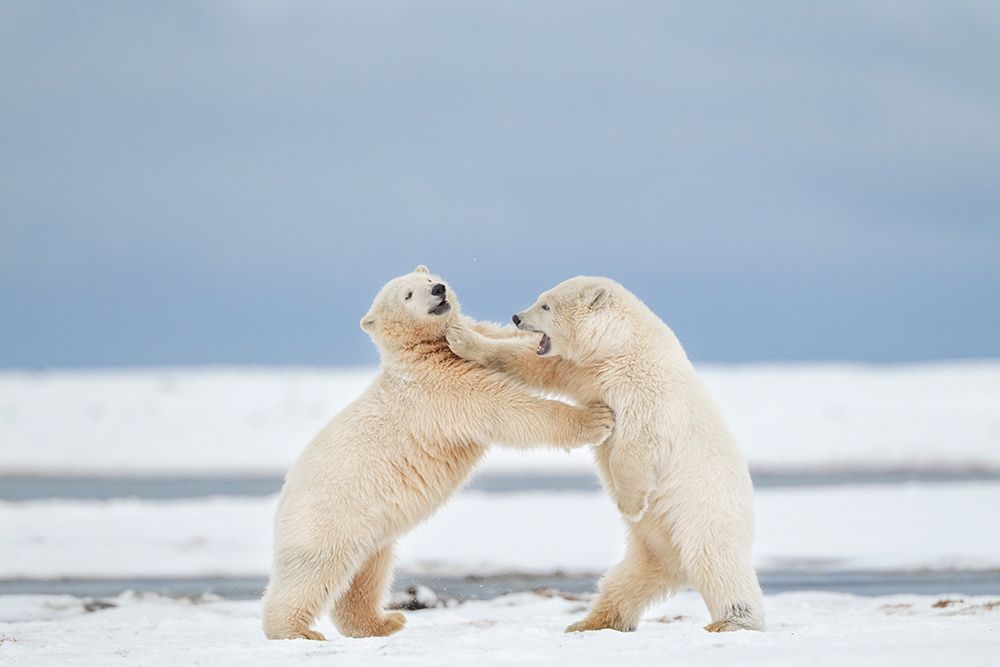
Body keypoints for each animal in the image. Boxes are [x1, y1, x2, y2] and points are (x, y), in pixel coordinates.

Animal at [261, 266, 615, 641]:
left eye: (430, 277)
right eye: (407, 295)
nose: (438, 290)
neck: (421, 355)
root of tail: (283, 498)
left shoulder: (468, 345)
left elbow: (506, 343)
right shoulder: (441, 391)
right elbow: (508, 410)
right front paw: (597, 419)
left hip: (372, 530)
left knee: (366, 575)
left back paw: (383, 622)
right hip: (328, 516)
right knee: (312, 571)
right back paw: (296, 630)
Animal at [445, 275, 765, 633]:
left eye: (546, 305)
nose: (516, 317)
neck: (622, 345)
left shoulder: (643, 388)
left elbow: (638, 443)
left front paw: (630, 506)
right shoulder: (587, 371)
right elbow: (535, 364)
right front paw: (461, 337)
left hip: (704, 512)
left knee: (716, 562)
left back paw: (733, 621)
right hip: (655, 546)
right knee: (627, 578)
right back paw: (589, 622)